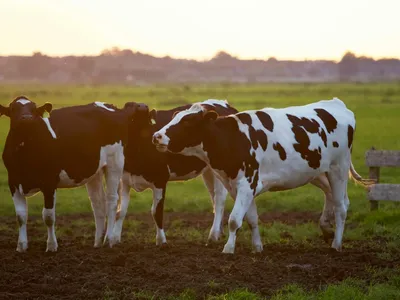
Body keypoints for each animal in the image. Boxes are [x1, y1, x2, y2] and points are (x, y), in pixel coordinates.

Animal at [0, 95, 147, 251]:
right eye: (13, 109)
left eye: (34, 109)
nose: (27, 118)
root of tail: (114, 108)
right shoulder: (13, 182)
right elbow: (20, 216)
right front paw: (21, 246)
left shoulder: (49, 182)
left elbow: (48, 216)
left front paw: (51, 246)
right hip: (94, 171)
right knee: (98, 203)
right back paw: (97, 242)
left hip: (115, 163)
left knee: (112, 201)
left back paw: (109, 240)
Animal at [111, 99, 239, 246]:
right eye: (129, 108)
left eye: (147, 121)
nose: (142, 106)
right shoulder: (124, 180)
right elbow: (120, 211)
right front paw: (115, 239)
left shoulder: (160, 180)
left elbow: (156, 212)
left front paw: (161, 241)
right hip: (209, 171)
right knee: (213, 198)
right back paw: (219, 232)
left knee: (219, 200)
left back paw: (213, 235)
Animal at [153, 98, 376, 253]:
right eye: (174, 117)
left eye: (188, 121)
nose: (156, 136)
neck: (233, 138)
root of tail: (337, 104)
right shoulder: (238, 186)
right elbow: (251, 218)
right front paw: (257, 247)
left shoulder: (247, 183)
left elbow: (234, 220)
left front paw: (228, 249)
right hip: (318, 172)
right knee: (333, 197)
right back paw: (326, 228)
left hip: (338, 168)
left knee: (341, 207)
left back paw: (336, 244)